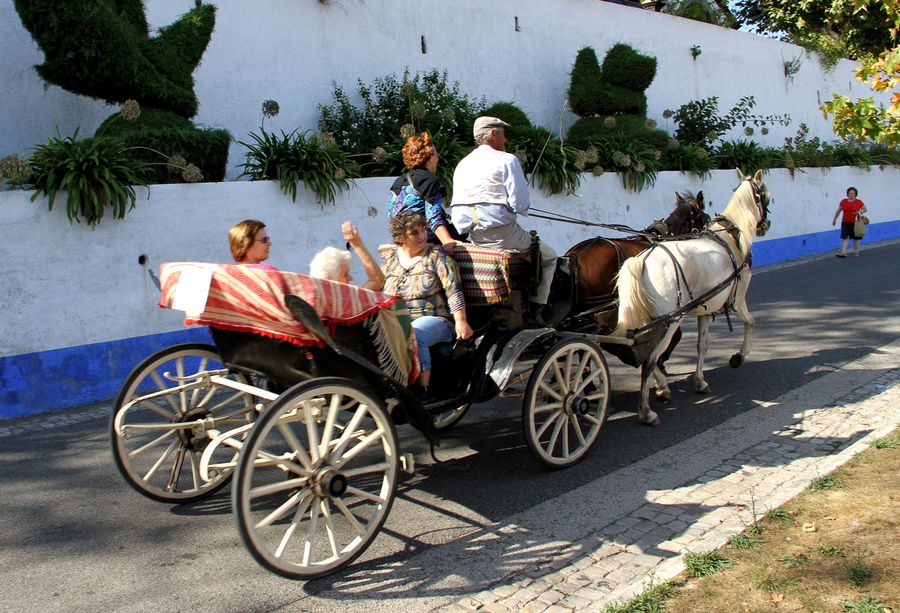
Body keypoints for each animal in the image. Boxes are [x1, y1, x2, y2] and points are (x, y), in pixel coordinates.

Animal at [616, 169, 768, 426]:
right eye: (765, 195)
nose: (765, 225)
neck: (729, 238)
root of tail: (641, 260)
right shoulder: (737, 302)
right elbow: (751, 322)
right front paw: (739, 356)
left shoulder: (705, 310)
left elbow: (702, 345)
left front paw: (699, 381)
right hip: (668, 322)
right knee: (649, 360)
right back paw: (647, 411)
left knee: (641, 354)